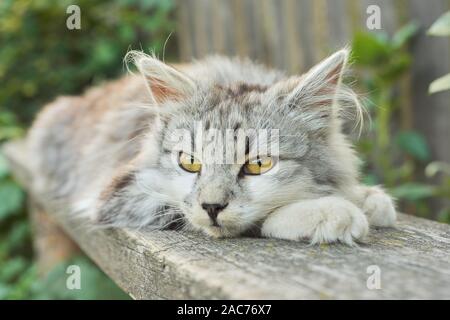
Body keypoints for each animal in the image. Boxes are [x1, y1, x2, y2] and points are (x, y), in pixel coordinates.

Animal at [26, 48, 396, 245]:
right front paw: (332, 210)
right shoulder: (120, 194)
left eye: (258, 165)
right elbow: (259, 219)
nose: (213, 207)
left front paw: (365, 197)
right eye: (189, 162)